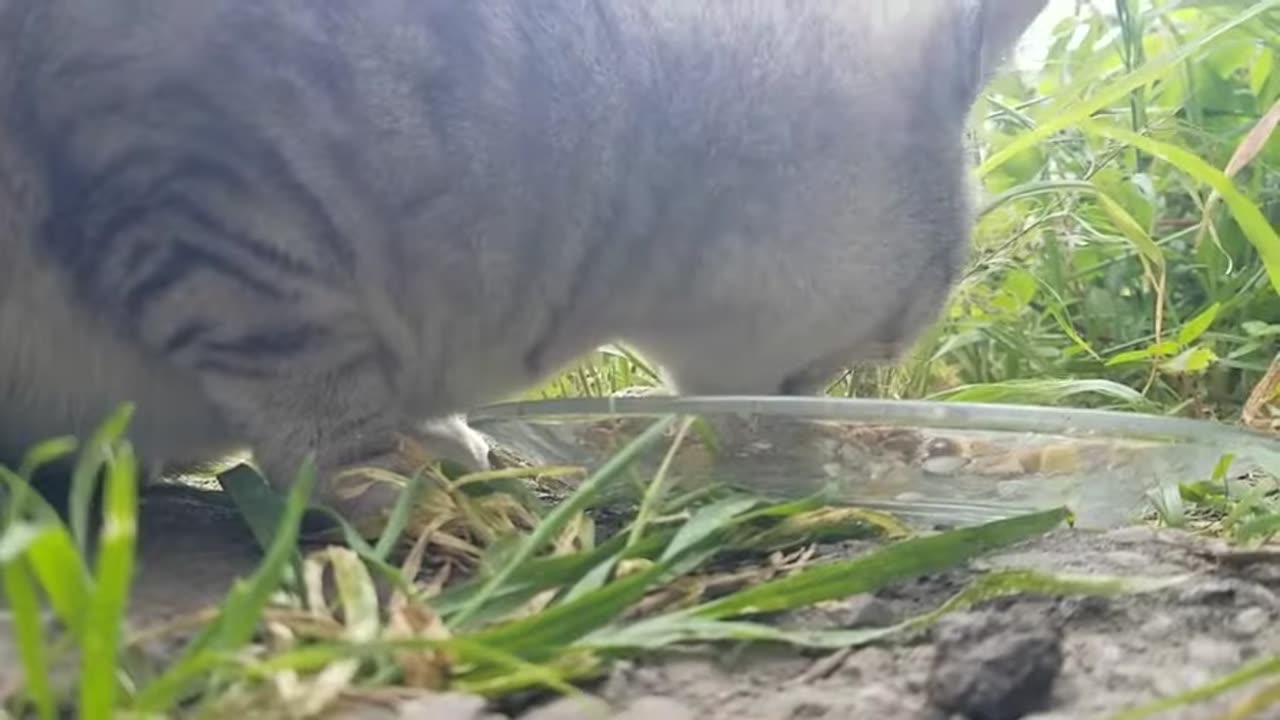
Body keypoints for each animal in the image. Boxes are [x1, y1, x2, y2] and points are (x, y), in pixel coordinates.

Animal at [0, 0, 1049, 520]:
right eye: (897, 329)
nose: (817, 432)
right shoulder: (193, 179)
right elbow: (306, 371)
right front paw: (384, 480)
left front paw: (446, 441)